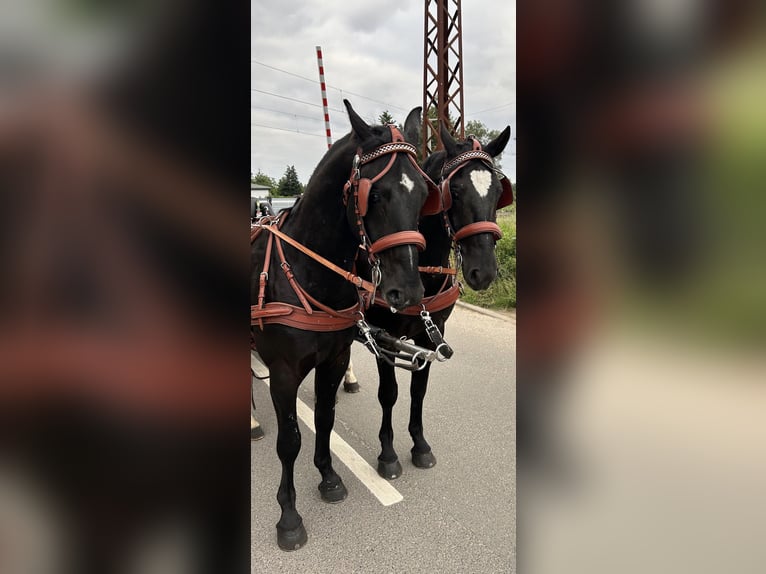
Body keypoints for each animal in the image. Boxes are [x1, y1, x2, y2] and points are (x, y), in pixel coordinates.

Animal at [252, 100, 440, 552]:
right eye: (377, 194)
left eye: (424, 193)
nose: (408, 291)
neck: (306, 270)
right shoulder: (284, 373)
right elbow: (290, 441)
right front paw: (289, 516)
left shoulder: (334, 359)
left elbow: (324, 418)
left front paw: (329, 477)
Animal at [356, 122, 512, 482]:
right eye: (454, 188)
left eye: (498, 190)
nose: (484, 271)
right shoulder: (384, 336)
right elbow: (389, 393)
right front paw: (388, 454)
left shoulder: (430, 335)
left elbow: (419, 391)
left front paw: (420, 445)